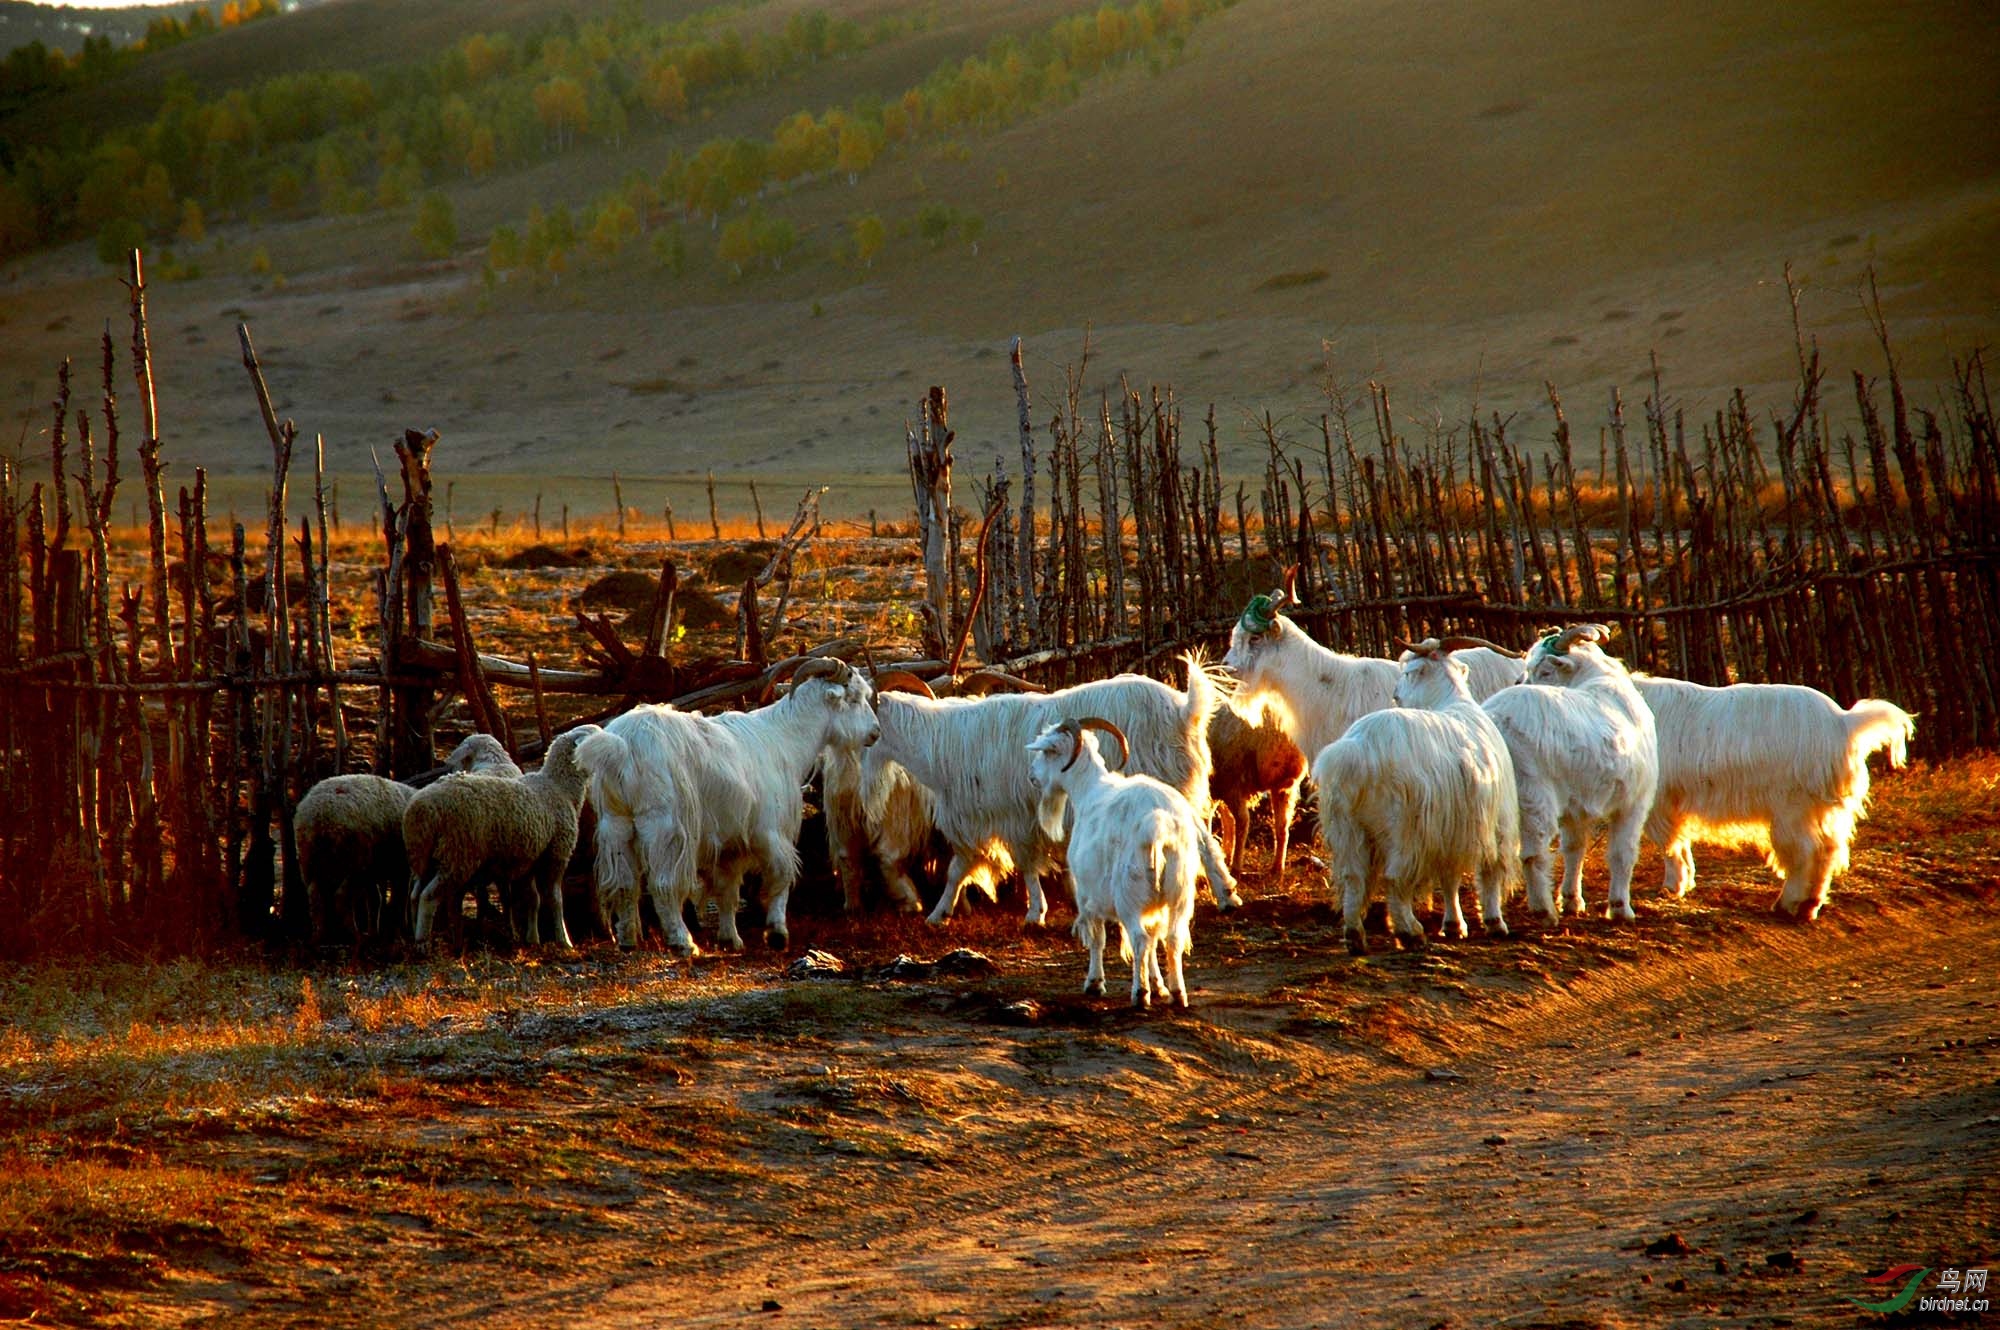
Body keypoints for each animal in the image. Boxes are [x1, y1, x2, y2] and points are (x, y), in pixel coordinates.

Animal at [584, 656, 888, 948]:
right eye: (853, 699)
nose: (875, 732)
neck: (784, 738)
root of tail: (623, 745)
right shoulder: (771, 830)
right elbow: (781, 876)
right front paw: (777, 933)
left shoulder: (730, 844)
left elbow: (727, 891)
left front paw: (731, 938)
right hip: (666, 826)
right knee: (664, 884)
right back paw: (682, 942)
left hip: (617, 824)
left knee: (625, 884)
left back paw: (627, 940)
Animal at [876, 652, 1232, 924]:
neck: (941, 742)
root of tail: (1184, 710)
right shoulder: (975, 819)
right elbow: (956, 870)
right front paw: (939, 913)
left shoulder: (1013, 816)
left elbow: (1025, 864)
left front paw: (1036, 912)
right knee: (1203, 837)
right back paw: (1227, 895)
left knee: (1200, 839)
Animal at [1032, 716, 1232, 1008]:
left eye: (1047, 752)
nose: (1032, 775)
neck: (1089, 791)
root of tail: (1157, 825)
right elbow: (1153, 941)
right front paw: (1159, 985)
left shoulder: (1086, 893)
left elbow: (1098, 938)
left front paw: (1095, 983)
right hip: (1178, 891)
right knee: (1170, 938)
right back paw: (1177, 993)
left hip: (1129, 893)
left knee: (1138, 938)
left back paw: (1139, 994)